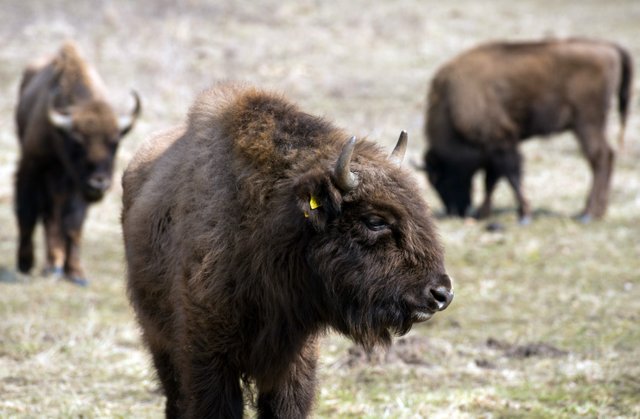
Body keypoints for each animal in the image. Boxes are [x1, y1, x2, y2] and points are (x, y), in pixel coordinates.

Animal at [15, 41, 140, 286]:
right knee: (46, 215)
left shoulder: (77, 188)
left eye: (115, 142)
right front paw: (26, 263)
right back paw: (49, 264)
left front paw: (76, 273)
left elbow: (73, 224)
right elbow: (28, 212)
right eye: (78, 142)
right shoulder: (32, 167)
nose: (99, 183)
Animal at [422, 38, 632, 223]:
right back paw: (596, 212)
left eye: (438, 177)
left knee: (600, 158)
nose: (455, 211)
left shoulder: (501, 142)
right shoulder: (494, 149)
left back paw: (588, 213)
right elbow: (493, 180)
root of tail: (609, 47)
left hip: (587, 123)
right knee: (606, 157)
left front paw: (524, 214)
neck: (449, 104)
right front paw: (485, 212)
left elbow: (511, 176)